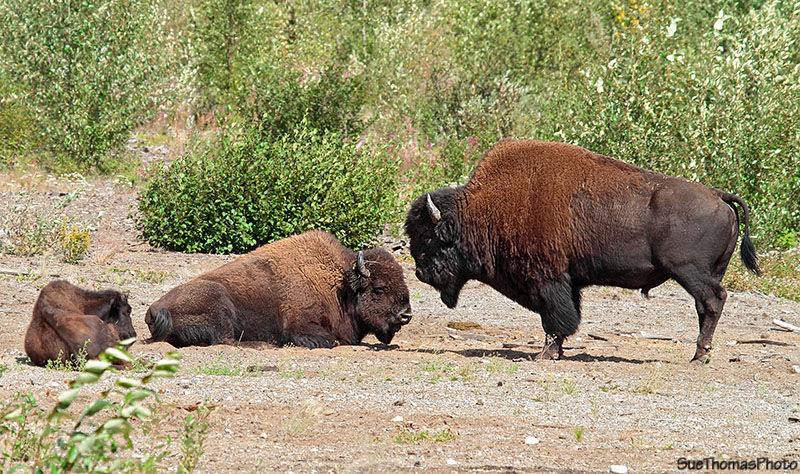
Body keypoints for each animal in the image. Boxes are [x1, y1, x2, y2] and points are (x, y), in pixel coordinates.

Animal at [145, 230, 412, 348]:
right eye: (379, 288)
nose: (406, 315)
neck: (340, 286)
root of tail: (154, 310)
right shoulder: (301, 326)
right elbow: (331, 340)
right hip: (221, 304)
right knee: (226, 340)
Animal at [406, 139, 760, 363]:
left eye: (430, 239)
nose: (420, 273)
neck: (486, 208)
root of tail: (719, 195)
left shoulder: (548, 280)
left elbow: (555, 319)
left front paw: (545, 354)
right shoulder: (568, 282)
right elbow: (567, 317)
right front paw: (556, 351)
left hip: (689, 272)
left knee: (712, 301)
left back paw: (699, 354)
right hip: (708, 272)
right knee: (705, 307)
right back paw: (701, 352)